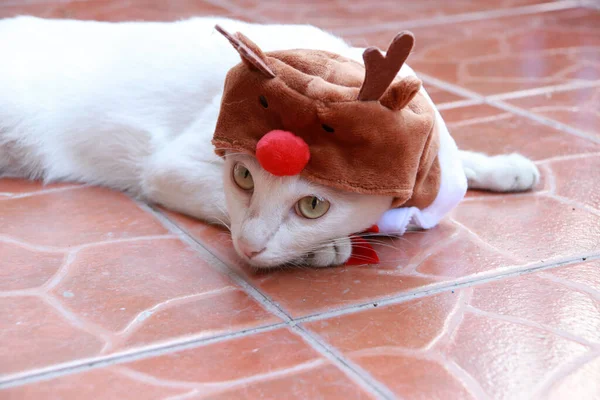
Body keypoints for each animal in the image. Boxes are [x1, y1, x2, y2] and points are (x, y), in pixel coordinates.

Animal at [0, 18, 540, 268]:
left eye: (313, 204)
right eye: (243, 177)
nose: (249, 248)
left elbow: (456, 161)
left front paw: (506, 168)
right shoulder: (169, 166)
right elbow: (223, 202)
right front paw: (325, 247)